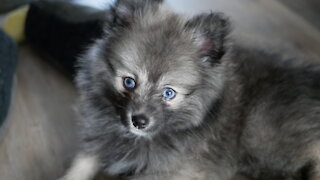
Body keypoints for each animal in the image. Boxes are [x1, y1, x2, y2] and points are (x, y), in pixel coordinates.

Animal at [61, 0, 320, 180]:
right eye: (129, 82)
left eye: (168, 93)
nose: (139, 121)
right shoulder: (98, 140)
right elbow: (81, 165)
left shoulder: (180, 171)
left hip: (265, 137)